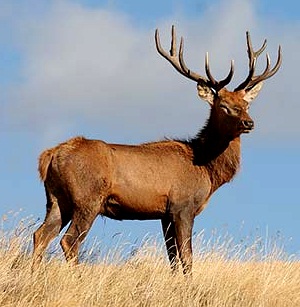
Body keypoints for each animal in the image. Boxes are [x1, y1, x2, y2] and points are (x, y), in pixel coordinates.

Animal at [32, 24, 282, 274]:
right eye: (224, 106)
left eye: (246, 104)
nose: (249, 123)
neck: (206, 169)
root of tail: (50, 156)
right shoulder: (182, 206)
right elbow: (187, 258)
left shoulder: (165, 214)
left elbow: (173, 259)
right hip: (87, 198)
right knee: (69, 240)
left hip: (56, 199)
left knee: (40, 235)